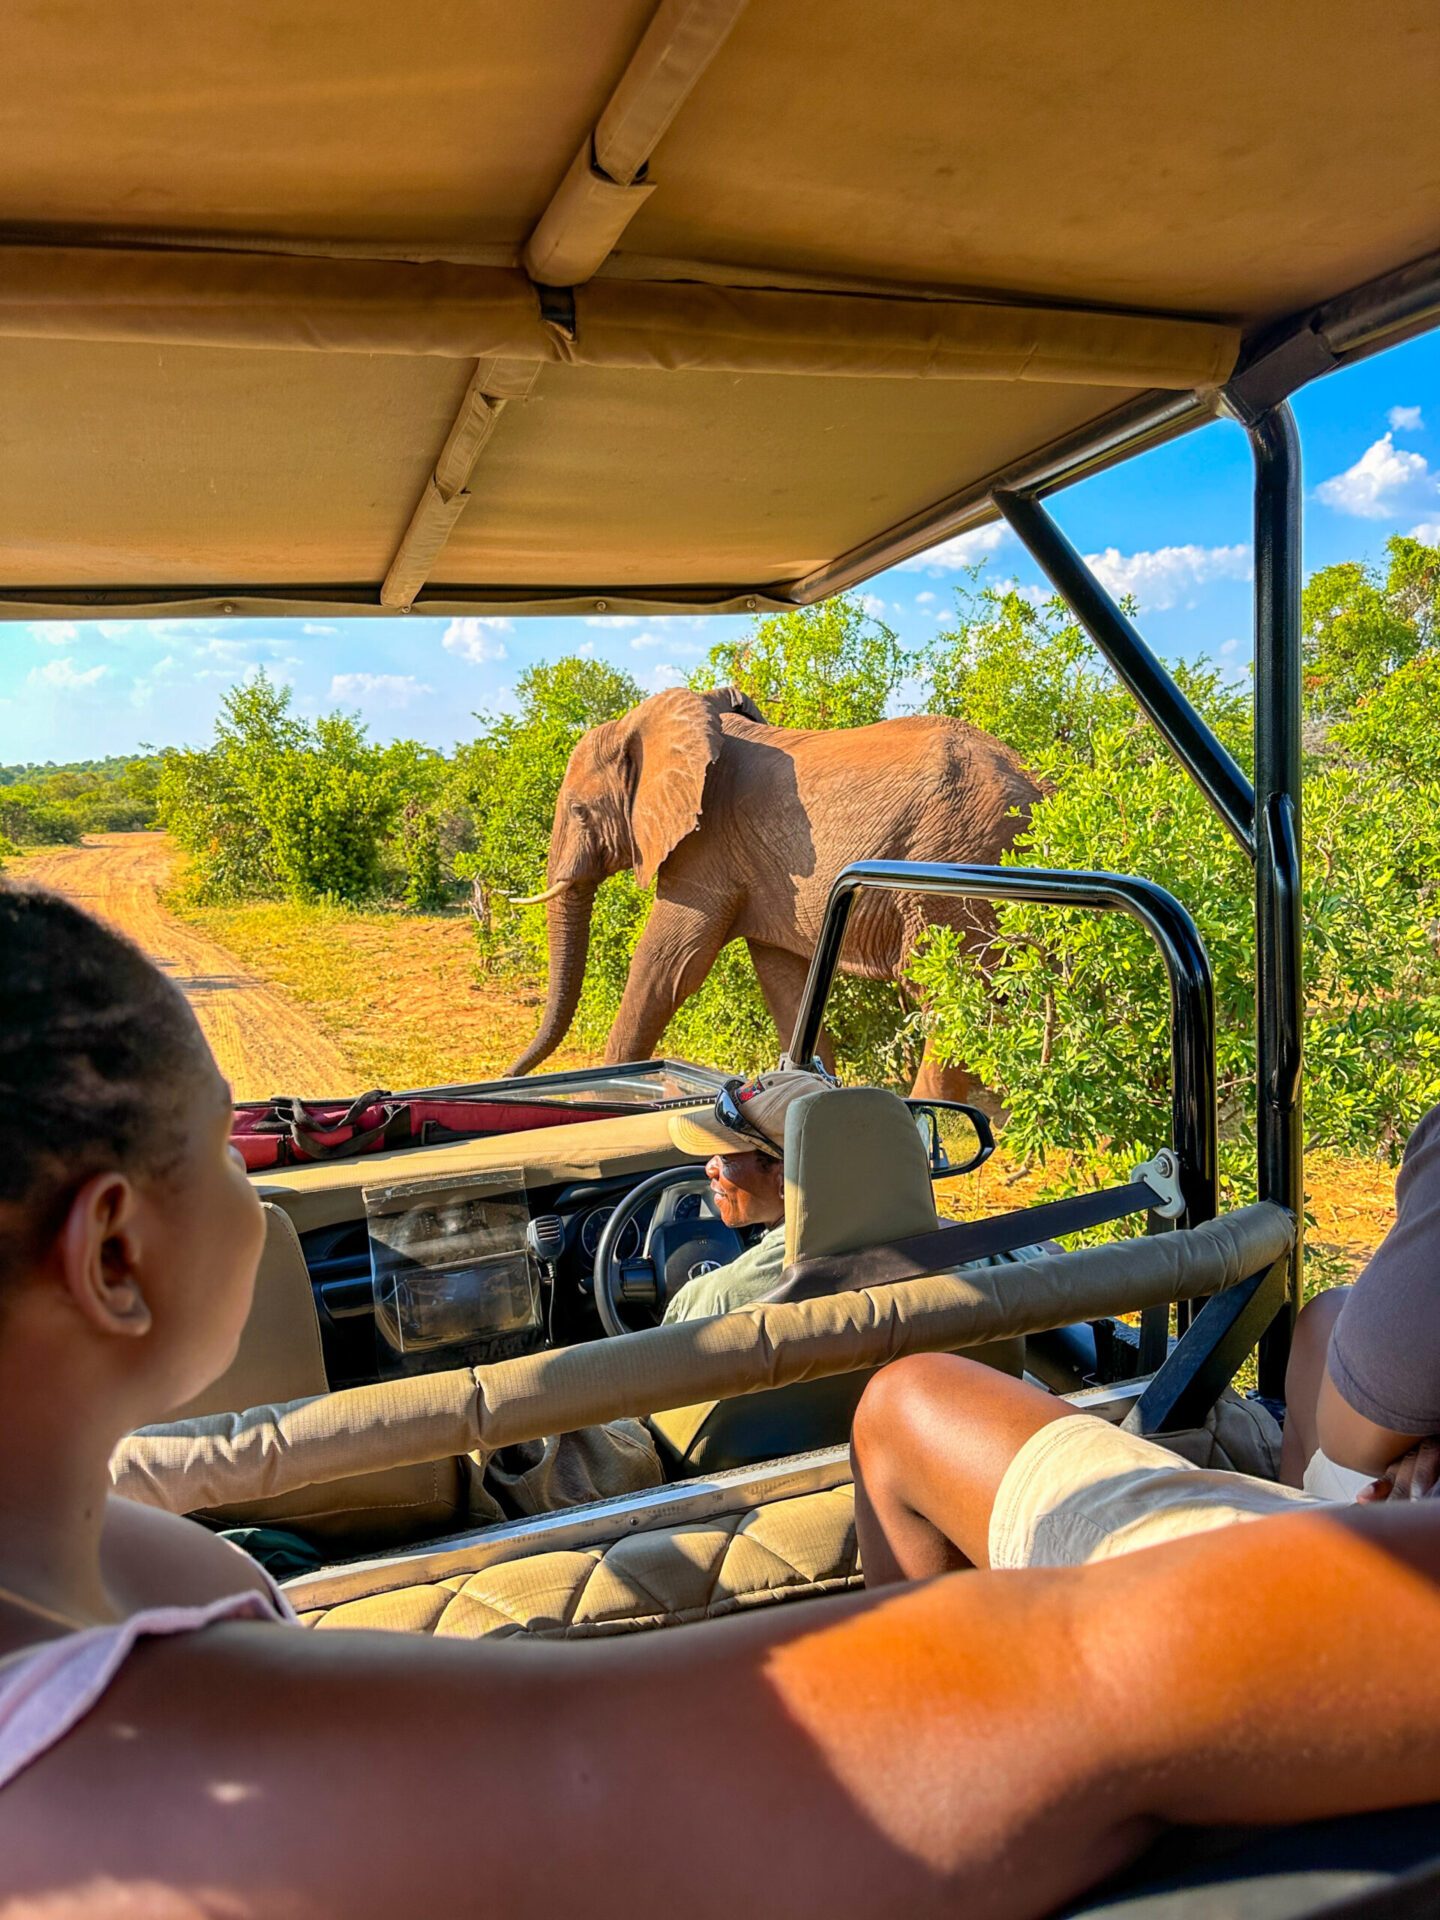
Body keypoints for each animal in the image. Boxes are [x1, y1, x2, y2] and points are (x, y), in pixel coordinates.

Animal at [505, 686, 1044, 1099]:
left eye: (579, 812)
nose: (509, 1076)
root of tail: (1041, 788)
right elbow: (784, 981)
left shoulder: (705, 846)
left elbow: (668, 963)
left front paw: (614, 1092)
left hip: (957, 870)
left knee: (950, 995)